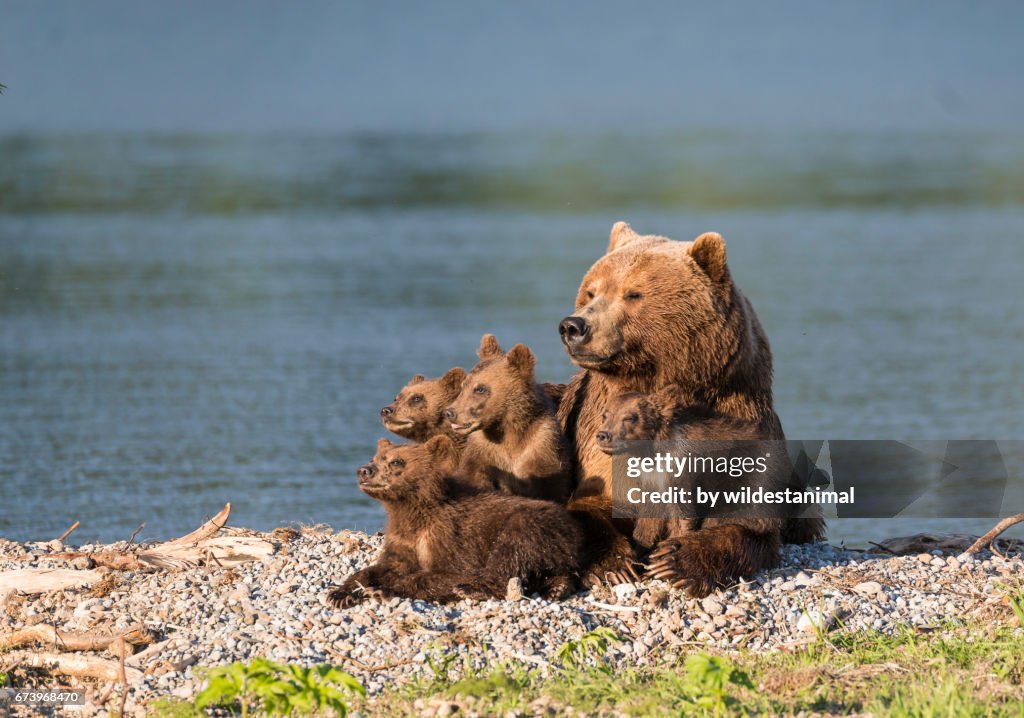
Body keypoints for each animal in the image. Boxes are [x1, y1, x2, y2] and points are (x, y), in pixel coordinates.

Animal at [557, 221, 827, 598]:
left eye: (633, 294)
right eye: (591, 292)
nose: (574, 326)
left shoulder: (738, 420)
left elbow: (745, 520)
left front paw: (675, 561)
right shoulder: (596, 436)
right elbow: (594, 502)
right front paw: (615, 565)